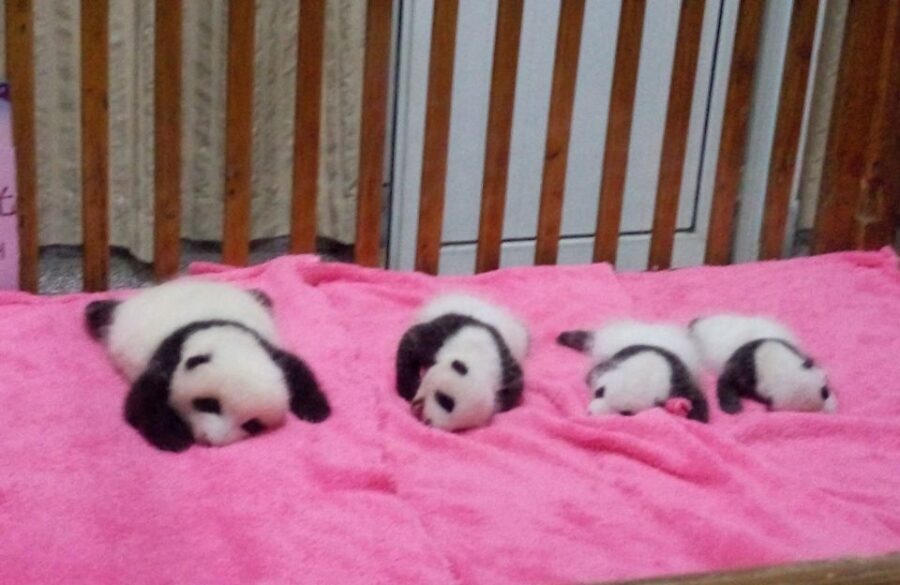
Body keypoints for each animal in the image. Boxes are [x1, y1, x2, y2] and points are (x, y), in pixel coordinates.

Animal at [85, 279, 331, 452]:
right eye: (208, 404)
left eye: (252, 424)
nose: (210, 440)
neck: (223, 335)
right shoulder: (171, 356)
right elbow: (141, 404)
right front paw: (174, 437)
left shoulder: (267, 348)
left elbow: (296, 370)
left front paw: (316, 410)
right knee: (101, 315)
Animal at [395, 293, 529, 431]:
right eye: (445, 400)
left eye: (457, 428)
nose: (429, 420)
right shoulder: (444, 335)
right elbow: (411, 342)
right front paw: (409, 389)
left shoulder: (504, 369)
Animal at [557, 320, 709, 422]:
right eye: (599, 392)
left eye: (625, 413)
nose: (590, 413)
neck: (648, 367)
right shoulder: (615, 359)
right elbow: (593, 373)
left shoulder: (677, 379)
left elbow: (695, 397)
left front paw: (695, 415)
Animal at [690, 314, 837, 414]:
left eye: (825, 391)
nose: (826, 406)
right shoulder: (744, 367)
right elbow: (726, 381)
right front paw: (732, 406)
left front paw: (831, 405)